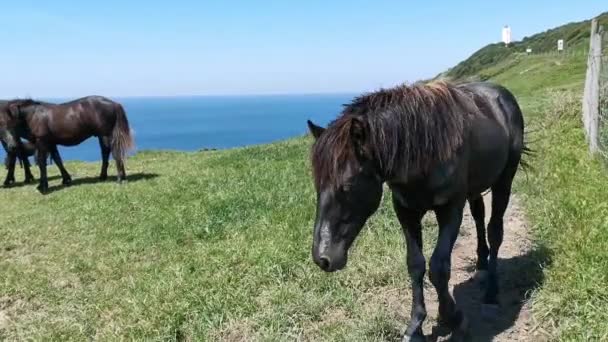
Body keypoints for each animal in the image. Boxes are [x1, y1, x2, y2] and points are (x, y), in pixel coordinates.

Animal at [0, 96, 134, 192]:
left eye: (9, 123)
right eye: (1, 124)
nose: (12, 146)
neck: (33, 116)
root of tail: (114, 103)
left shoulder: (42, 142)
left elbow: (42, 163)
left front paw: (43, 186)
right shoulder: (51, 143)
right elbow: (57, 160)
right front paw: (66, 179)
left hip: (107, 135)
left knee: (115, 153)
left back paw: (120, 178)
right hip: (102, 136)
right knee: (106, 152)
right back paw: (107, 176)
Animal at [308, 81, 528, 340]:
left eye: (348, 185)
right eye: (317, 184)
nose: (323, 259)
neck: (427, 149)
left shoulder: (451, 209)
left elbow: (439, 267)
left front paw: (453, 317)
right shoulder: (407, 211)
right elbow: (415, 264)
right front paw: (415, 325)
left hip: (504, 180)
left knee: (495, 230)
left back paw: (492, 294)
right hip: (475, 188)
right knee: (478, 215)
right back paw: (481, 267)